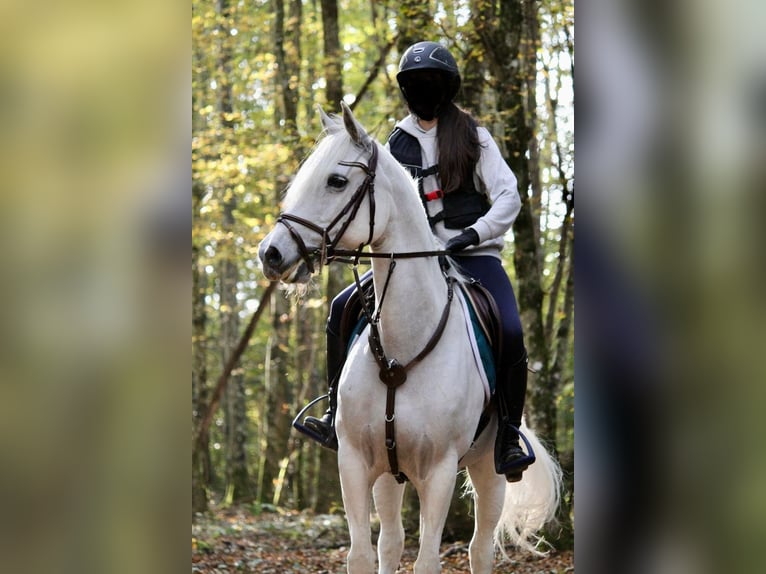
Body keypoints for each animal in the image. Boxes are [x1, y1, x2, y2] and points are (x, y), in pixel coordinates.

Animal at [260, 104, 564, 574]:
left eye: (336, 181)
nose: (270, 254)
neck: (400, 351)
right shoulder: (354, 462)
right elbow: (362, 555)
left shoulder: (438, 472)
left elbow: (427, 561)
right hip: (390, 473)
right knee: (391, 542)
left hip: (487, 470)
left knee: (480, 548)